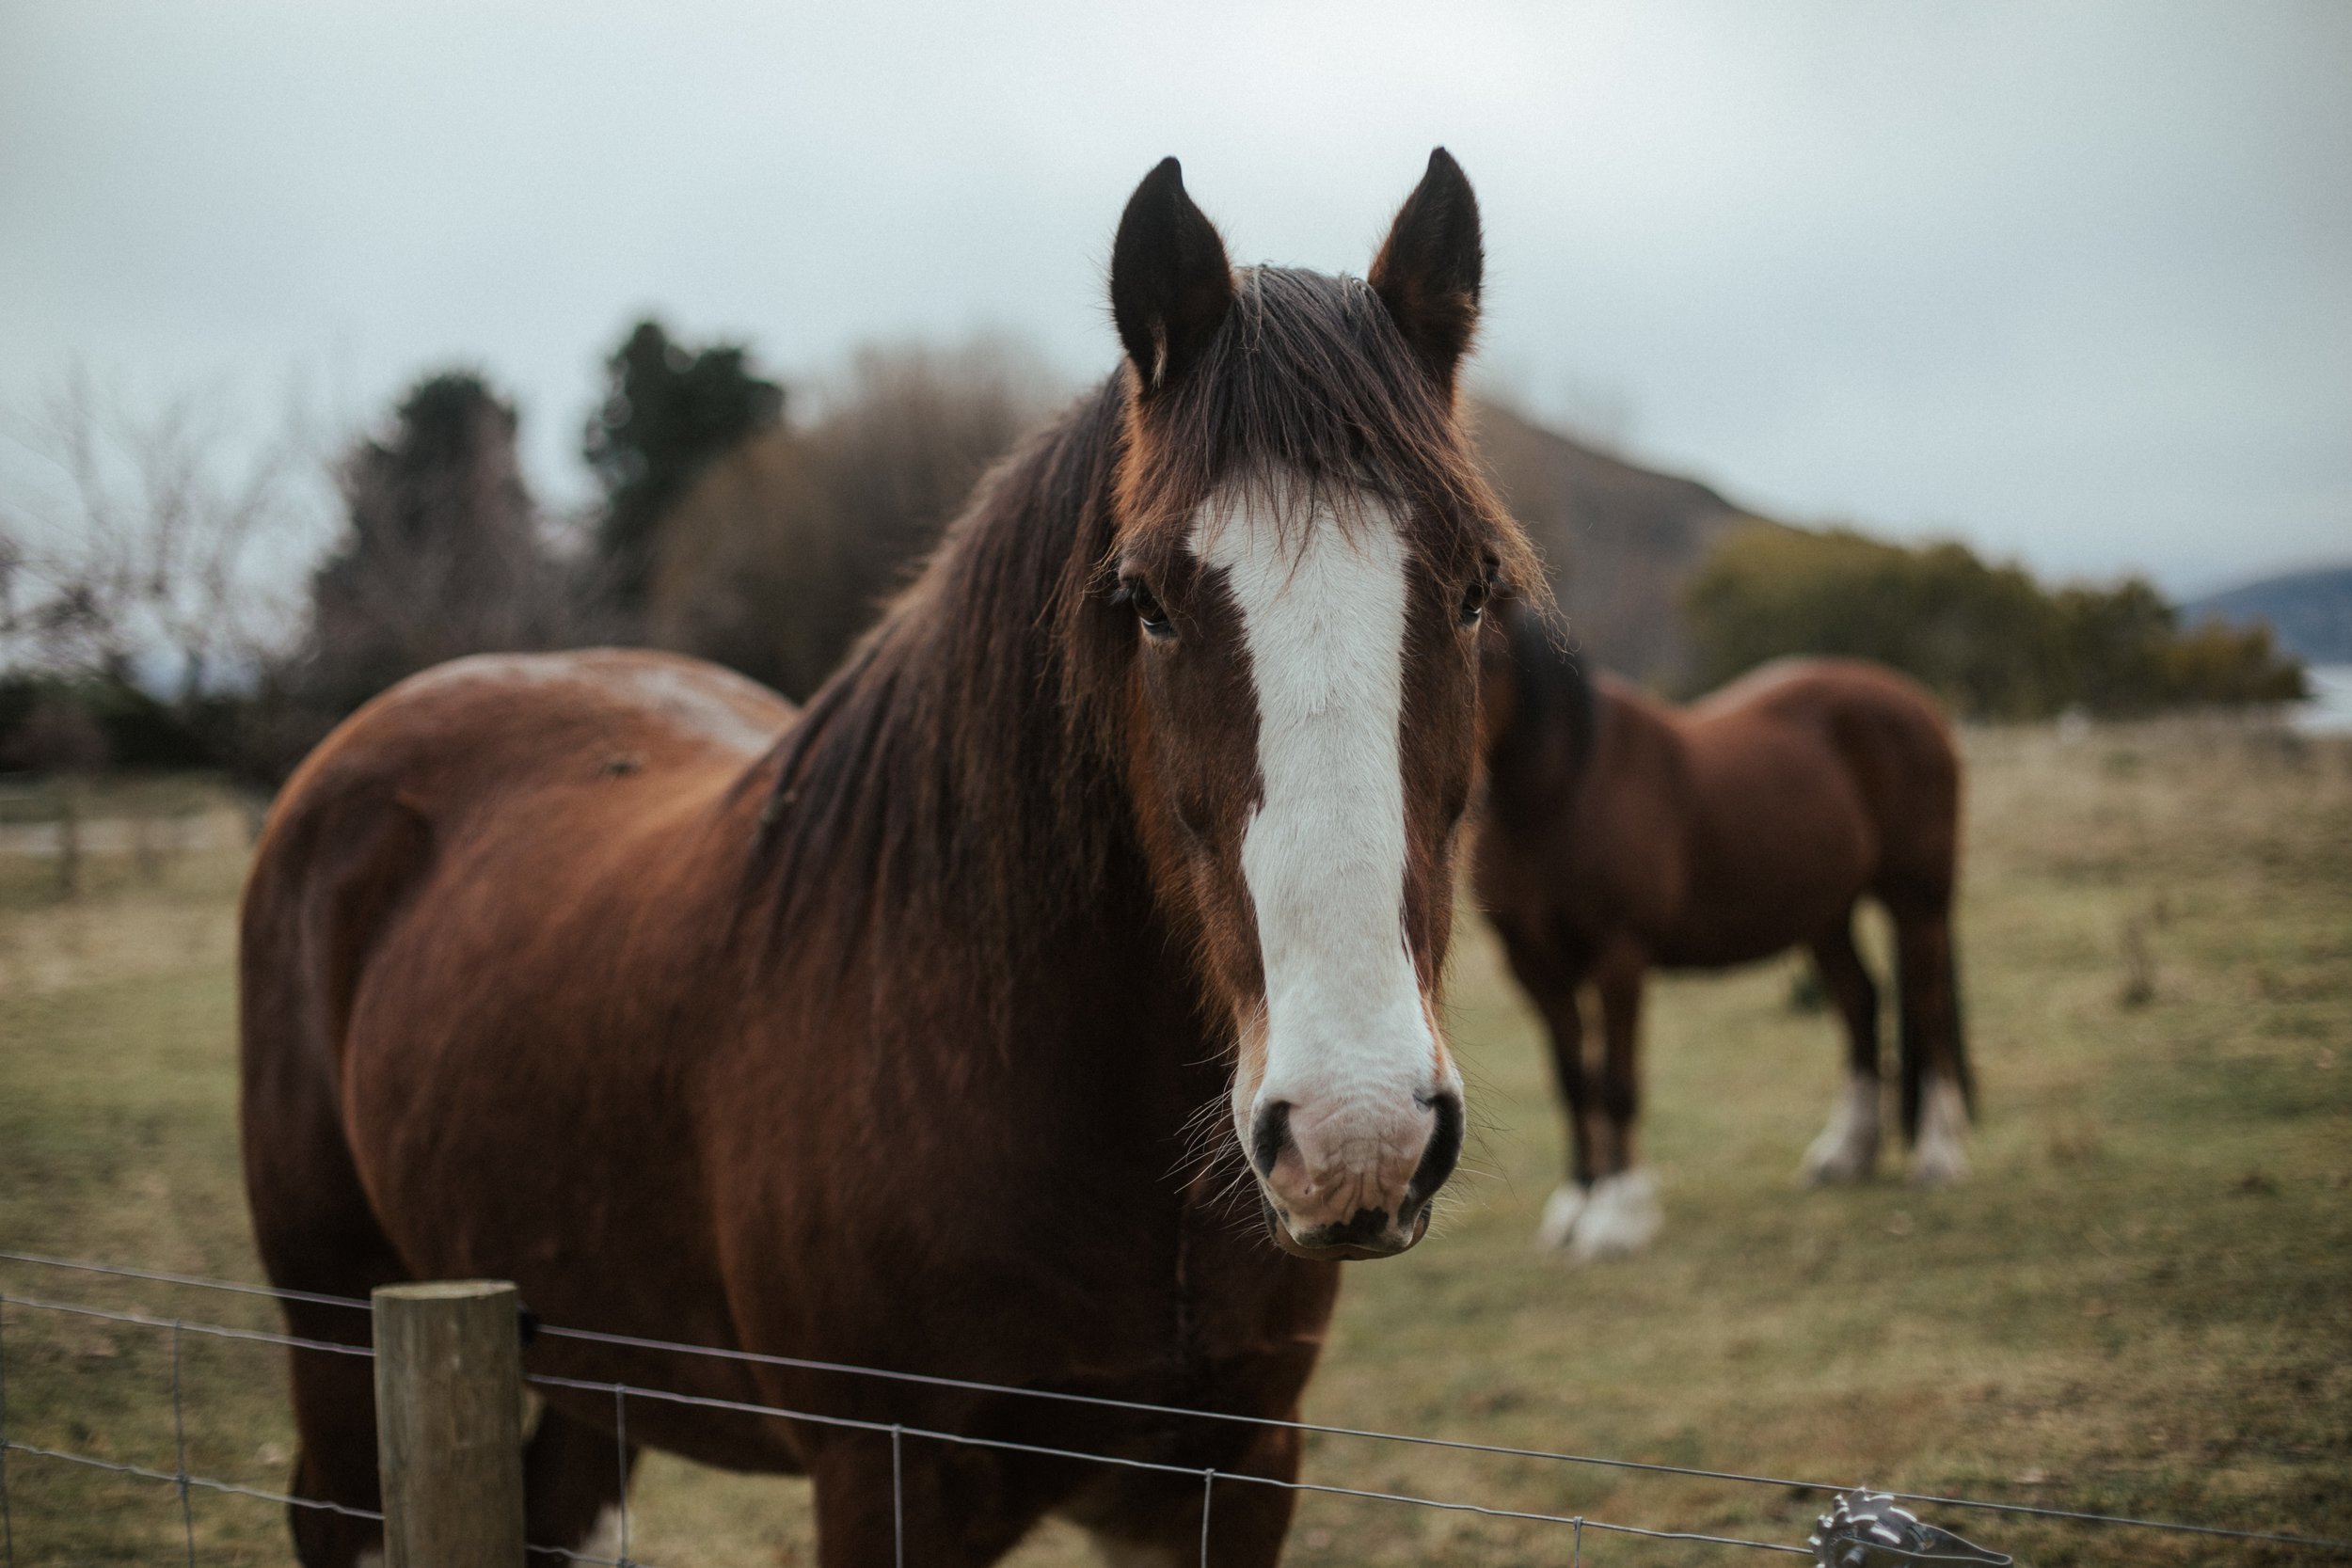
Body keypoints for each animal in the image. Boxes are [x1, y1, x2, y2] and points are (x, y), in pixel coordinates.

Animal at [239, 150, 1541, 1567]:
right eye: (1144, 600)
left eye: (1474, 591)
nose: (1358, 1129)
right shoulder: (885, 1476)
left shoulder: (1236, 1470)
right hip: (339, 1332)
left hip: (590, 1364)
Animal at [1472, 604, 1973, 1260]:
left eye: (1487, 655)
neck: (1561, 792)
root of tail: (1919, 705)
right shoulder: (1533, 967)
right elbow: (1573, 1084)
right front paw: (1575, 1207)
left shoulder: (1619, 958)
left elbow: (1616, 1085)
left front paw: (1618, 1217)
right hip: (1825, 915)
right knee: (1859, 1002)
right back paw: (1845, 1156)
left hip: (1916, 904)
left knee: (1929, 1009)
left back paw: (1938, 1156)